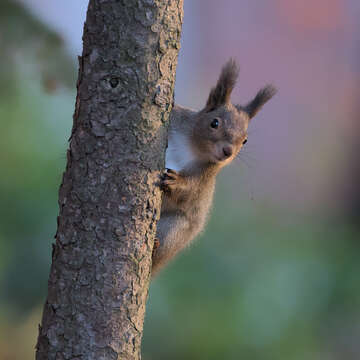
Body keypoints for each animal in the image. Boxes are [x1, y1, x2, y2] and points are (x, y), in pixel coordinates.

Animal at [150, 58, 278, 276]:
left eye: (245, 140)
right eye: (214, 123)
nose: (228, 151)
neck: (192, 146)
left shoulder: (204, 176)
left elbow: (190, 192)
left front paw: (176, 182)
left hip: (175, 229)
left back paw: (155, 247)